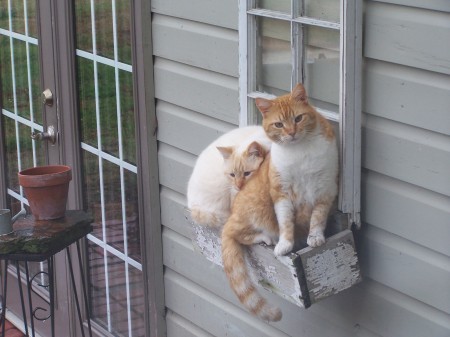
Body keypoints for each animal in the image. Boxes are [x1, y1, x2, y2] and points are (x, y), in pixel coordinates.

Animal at [221, 82, 338, 318]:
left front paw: (315, 238)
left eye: (298, 118)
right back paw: (265, 238)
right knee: (235, 234)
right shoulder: (281, 193)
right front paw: (284, 245)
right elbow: (285, 223)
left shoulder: (325, 189)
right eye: (278, 124)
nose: (291, 133)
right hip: (255, 209)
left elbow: (318, 218)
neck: (299, 151)